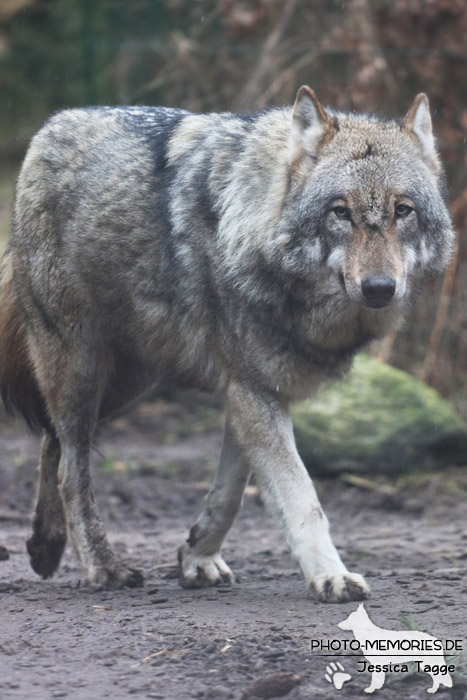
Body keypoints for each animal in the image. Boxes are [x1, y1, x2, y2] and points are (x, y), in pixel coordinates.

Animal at [0, 86, 456, 600]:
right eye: (340, 212)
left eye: (403, 211)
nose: (380, 288)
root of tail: (49, 127)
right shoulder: (254, 394)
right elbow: (302, 496)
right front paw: (331, 576)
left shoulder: (252, 389)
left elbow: (232, 493)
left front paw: (196, 557)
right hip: (84, 371)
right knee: (69, 468)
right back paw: (102, 567)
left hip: (125, 383)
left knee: (50, 440)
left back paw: (45, 547)